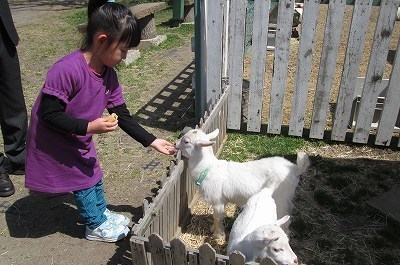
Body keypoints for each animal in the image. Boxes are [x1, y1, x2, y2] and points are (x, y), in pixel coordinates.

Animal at [175, 128, 310, 237]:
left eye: (186, 141)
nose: (175, 144)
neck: (207, 168)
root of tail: (295, 168)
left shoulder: (218, 201)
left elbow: (218, 217)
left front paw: (218, 235)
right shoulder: (222, 201)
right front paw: (213, 229)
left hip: (281, 199)